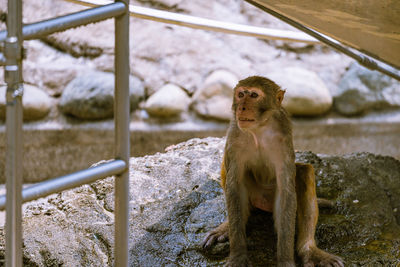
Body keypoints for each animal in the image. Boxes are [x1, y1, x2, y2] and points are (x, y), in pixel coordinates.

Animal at [202, 76, 342, 267]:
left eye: (254, 95)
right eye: (241, 94)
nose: (241, 107)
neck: (259, 129)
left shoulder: (283, 136)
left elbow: (286, 192)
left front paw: (285, 261)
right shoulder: (234, 135)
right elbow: (234, 185)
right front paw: (238, 257)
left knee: (304, 172)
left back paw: (309, 250)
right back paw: (227, 226)